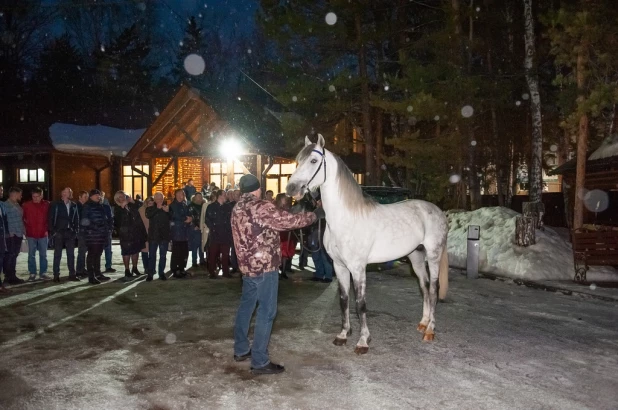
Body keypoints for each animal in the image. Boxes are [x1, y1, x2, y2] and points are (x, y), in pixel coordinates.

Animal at [284, 136, 448, 354]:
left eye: (313, 160)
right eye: (297, 161)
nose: (291, 189)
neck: (346, 218)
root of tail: (438, 211)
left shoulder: (358, 268)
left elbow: (360, 303)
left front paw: (363, 341)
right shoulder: (340, 266)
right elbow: (344, 300)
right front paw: (343, 335)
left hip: (433, 255)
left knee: (434, 289)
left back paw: (430, 330)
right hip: (416, 257)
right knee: (425, 286)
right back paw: (423, 322)